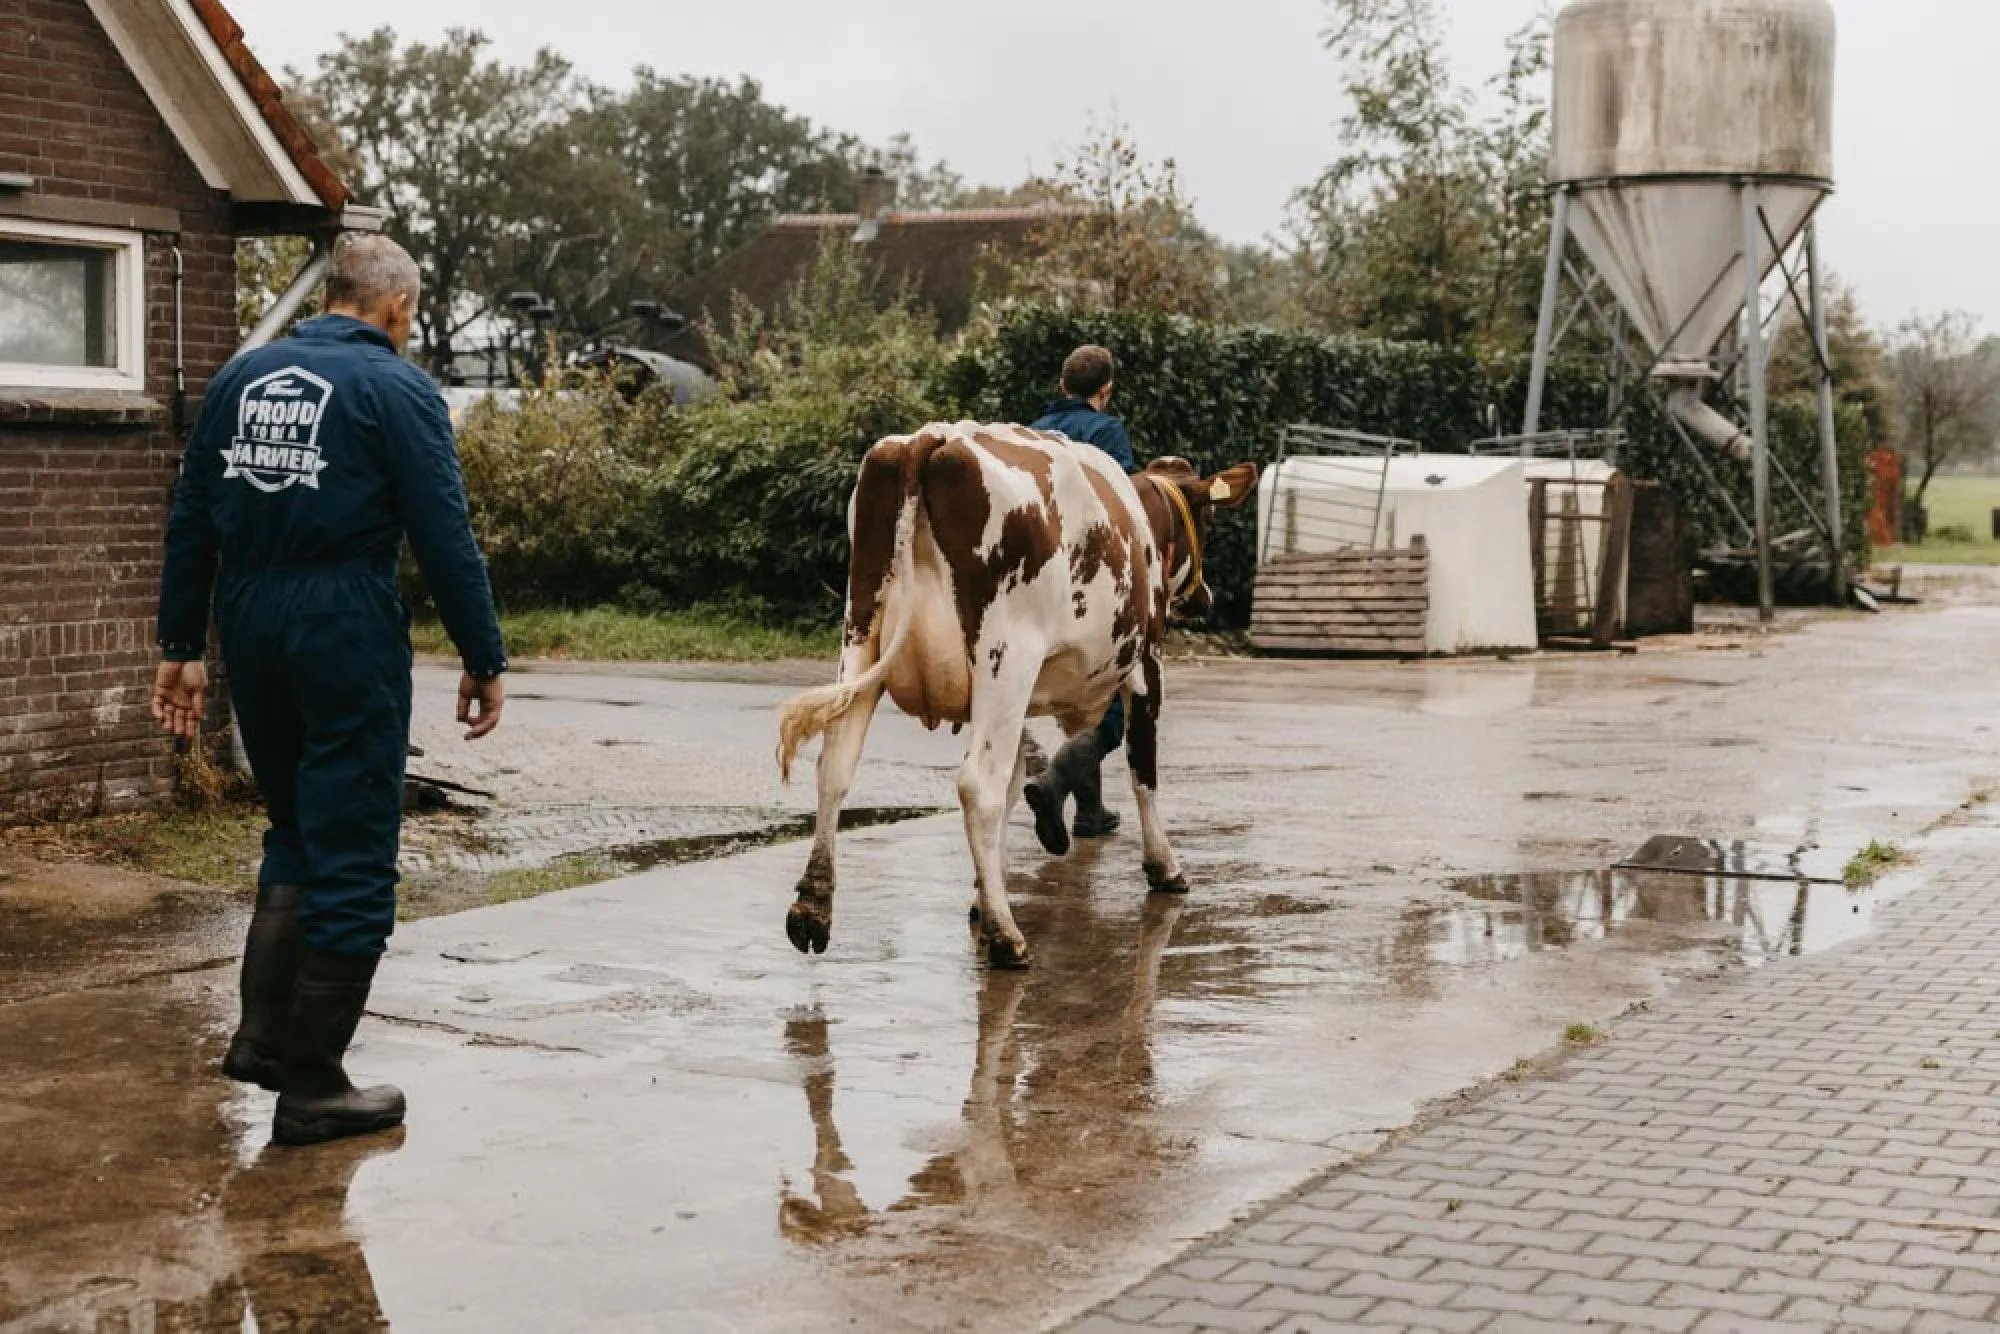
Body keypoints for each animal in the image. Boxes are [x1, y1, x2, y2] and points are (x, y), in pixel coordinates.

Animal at [776, 422, 1256, 964]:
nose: (1205, 598)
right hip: (1006, 655)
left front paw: (984, 896)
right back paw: (1008, 938)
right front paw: (1164, 867)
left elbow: (1015, 782)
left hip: (862, 634)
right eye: (1208, 519)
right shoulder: (1145, 666)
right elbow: (1142, 772)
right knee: (976, 785)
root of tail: (935, 439)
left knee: (836, 765)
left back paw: (812, 909)